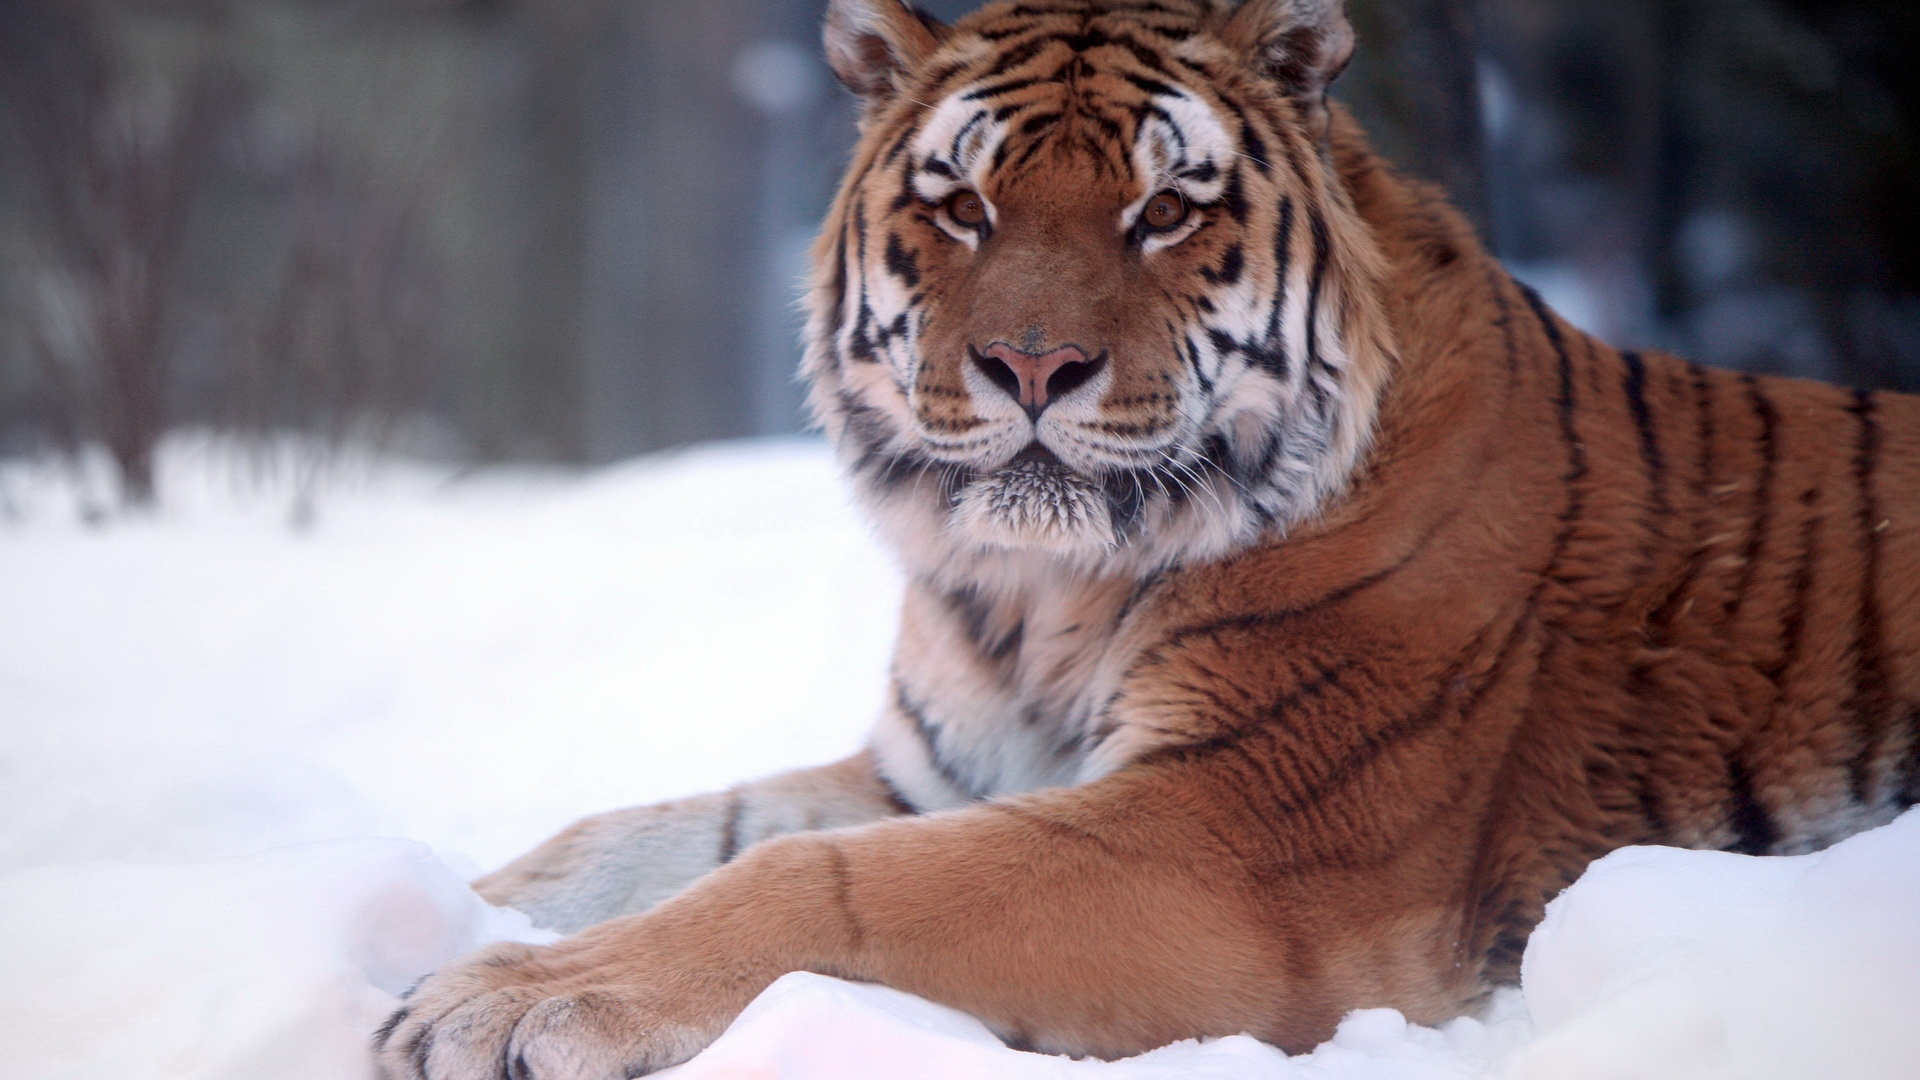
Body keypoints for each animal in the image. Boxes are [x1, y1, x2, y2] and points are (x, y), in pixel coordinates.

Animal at [366, 0, 1912, 1068]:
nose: (1031, 366)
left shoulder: (1232, 835)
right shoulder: (932, 773)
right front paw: (438, 920)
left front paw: (506, 1003)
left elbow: (820, 885)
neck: (1035, 594)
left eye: (1164, 210)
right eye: (960, 203)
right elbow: (629, 839)